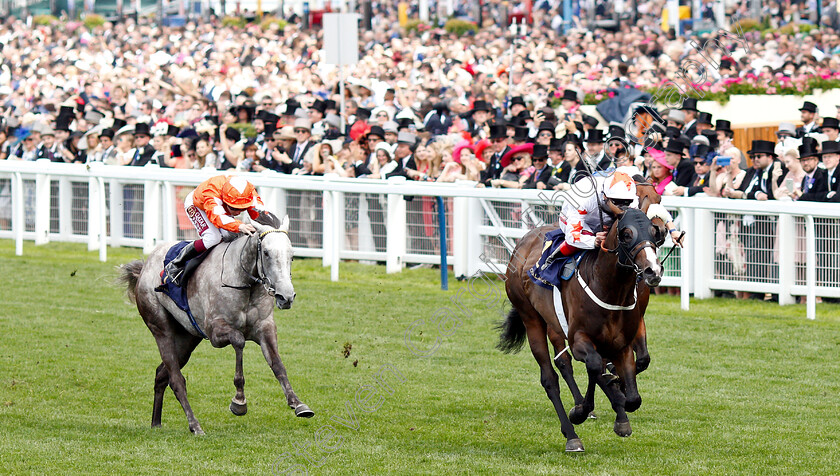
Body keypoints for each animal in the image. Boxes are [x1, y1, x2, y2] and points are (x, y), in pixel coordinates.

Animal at [118, 210, 312, 434]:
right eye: (266, 253)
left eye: (292, 255)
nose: (286, 297)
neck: (243, 282)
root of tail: (145, 267)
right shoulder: (215, 333)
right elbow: (239, 340)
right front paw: (239, 401)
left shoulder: (265, 327)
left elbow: (278, 364)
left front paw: (298, 403)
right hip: (160, 328)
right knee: (176, 379)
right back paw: (195, 425)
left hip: (187, 338)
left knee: (161, 374)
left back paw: (156, 422)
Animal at [498, 203, 664, 452]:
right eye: (626, 234)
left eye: (654, 232)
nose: (652, 271)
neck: (609, 287)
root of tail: (524, 241)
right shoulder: (579, 340)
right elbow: (595, 366)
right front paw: (580, 411)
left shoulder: (622, 343)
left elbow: (633, 395)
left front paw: (620, 407)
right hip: (532, 319)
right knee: (550, 377)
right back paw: (572, 435)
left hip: (554, 324)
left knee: (567, 364)